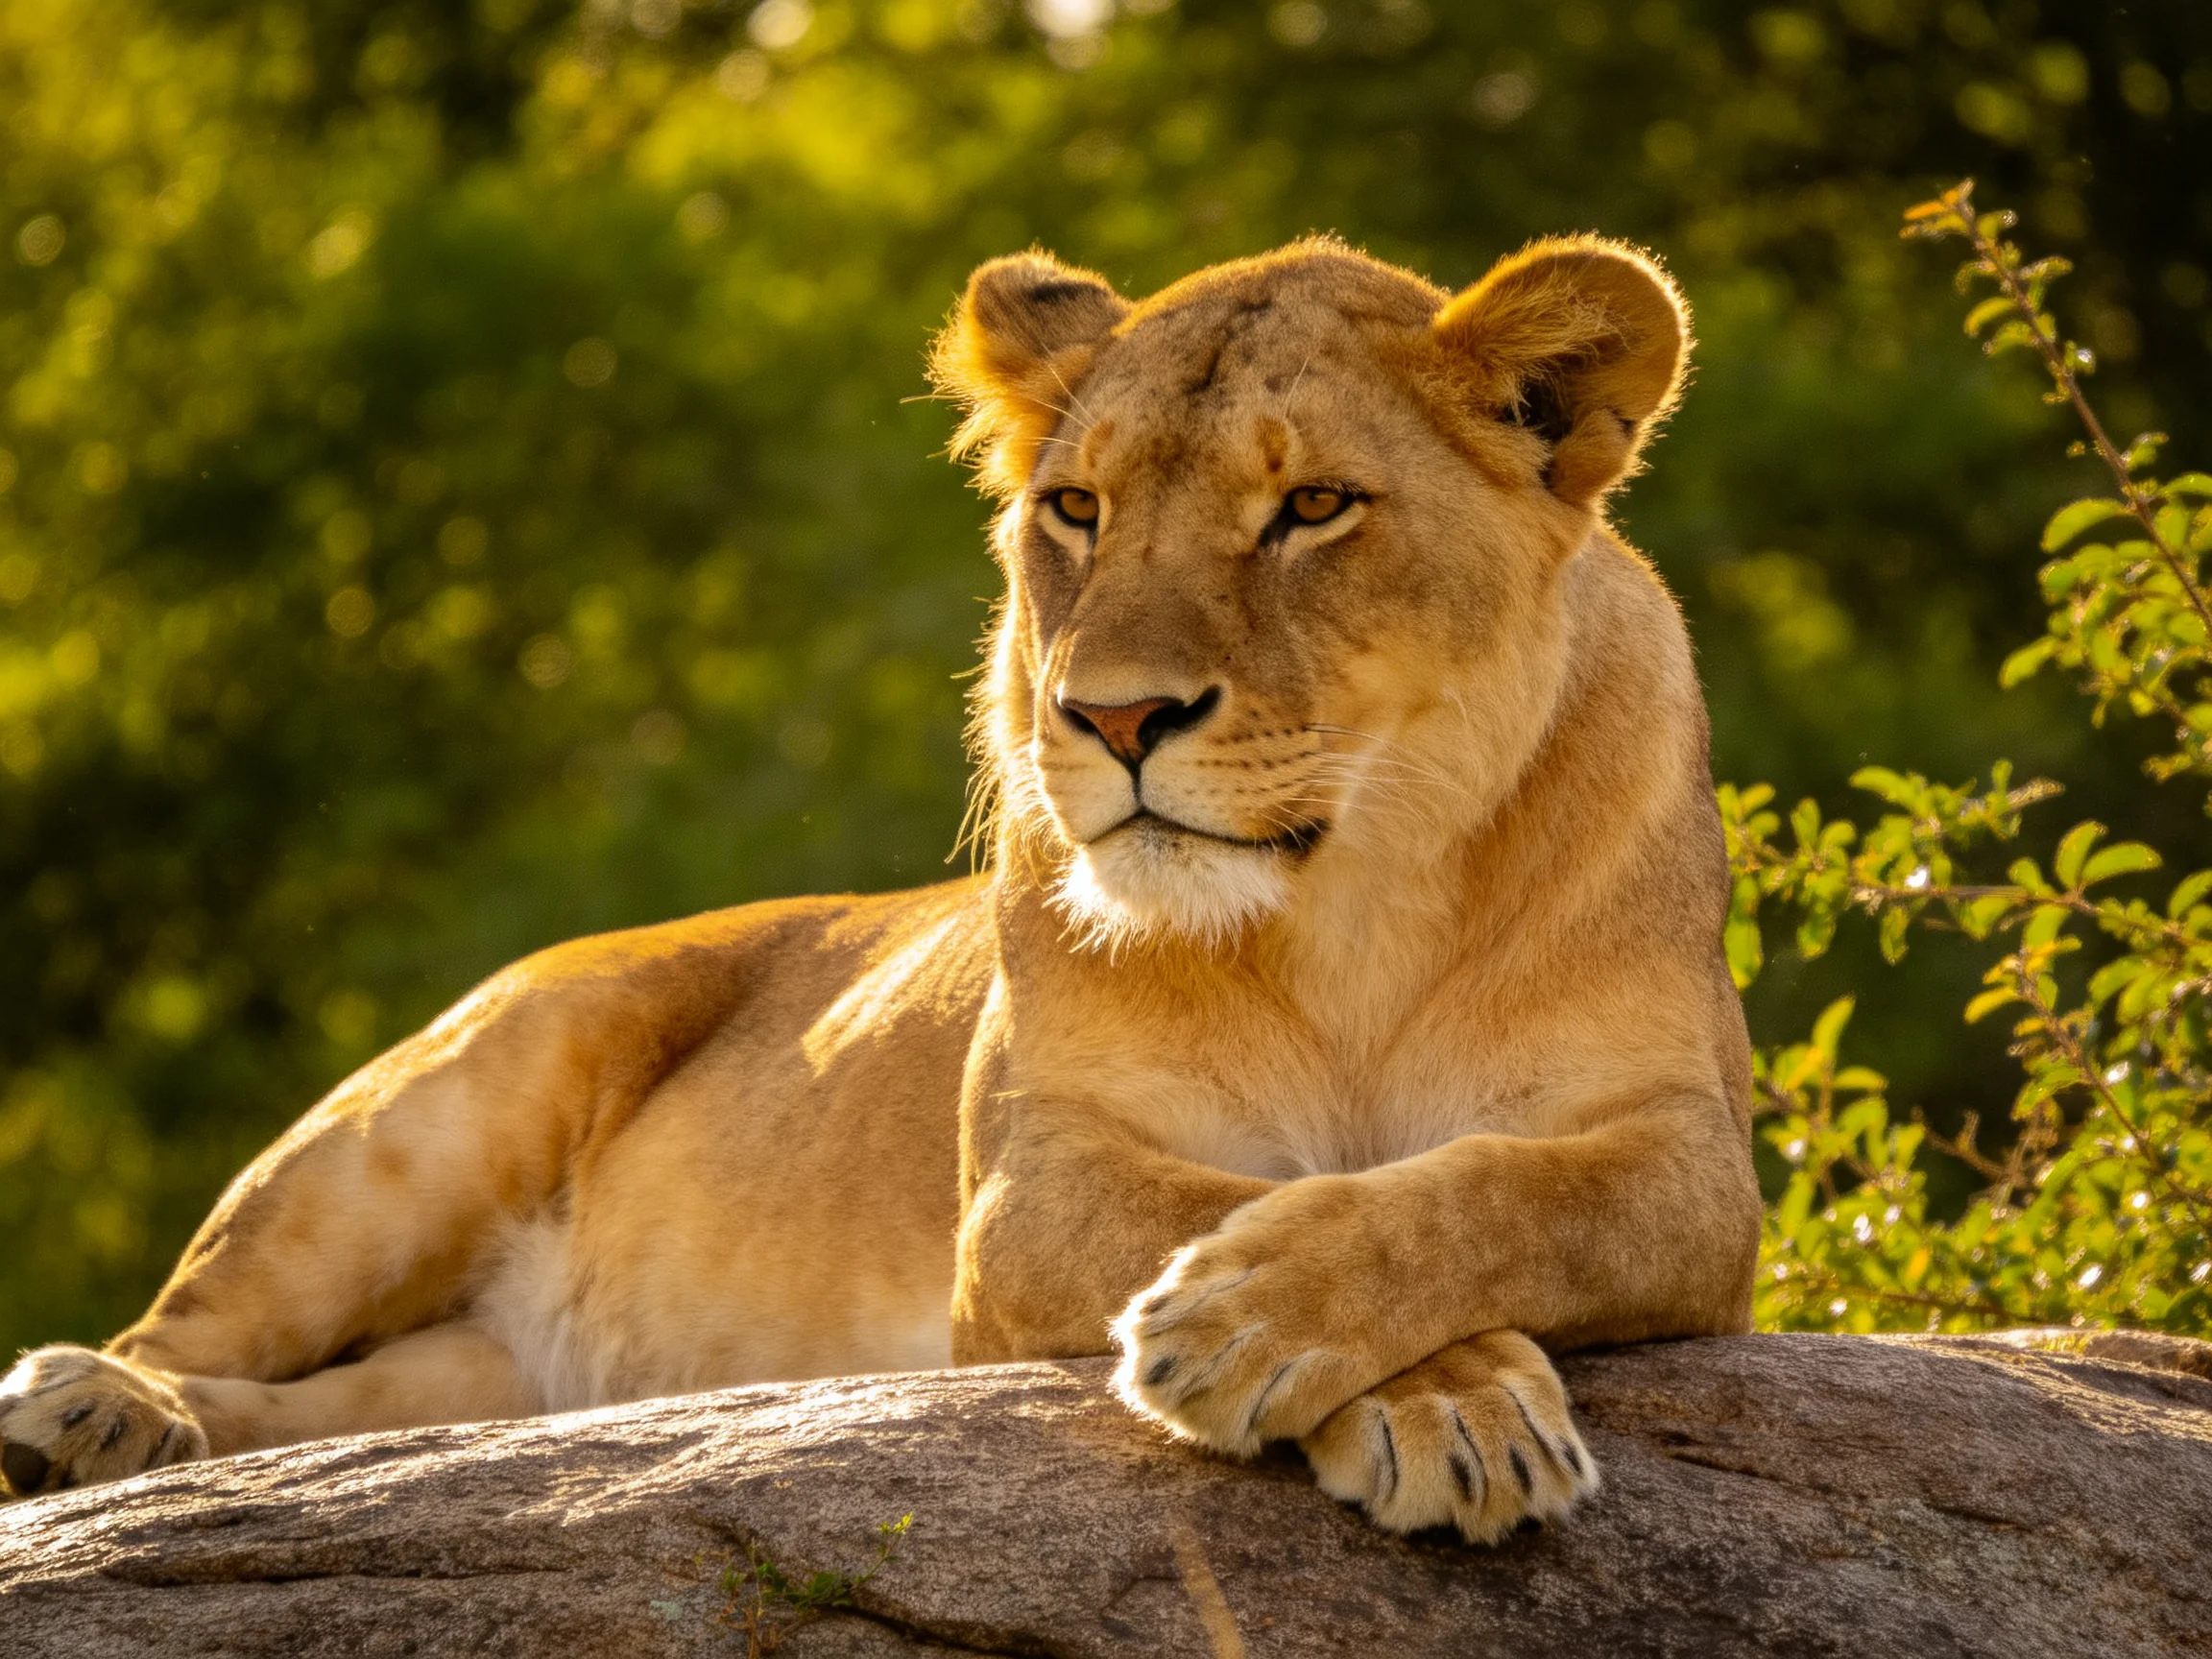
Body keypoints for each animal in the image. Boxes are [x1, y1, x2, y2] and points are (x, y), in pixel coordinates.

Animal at [0, 234, 1758, 1543]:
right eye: (1076, 508)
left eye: (1312, 505)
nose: (1112, 718)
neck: (1346, 918)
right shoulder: (1030, 1185)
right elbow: (1230, 1195)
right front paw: (1403, 1379)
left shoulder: (1687, 1158)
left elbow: (1501, 1192)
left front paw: (1338, 1346)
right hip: (440, 1107)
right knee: (189, 1334)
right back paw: (90, 1410)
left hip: (506, 1380)